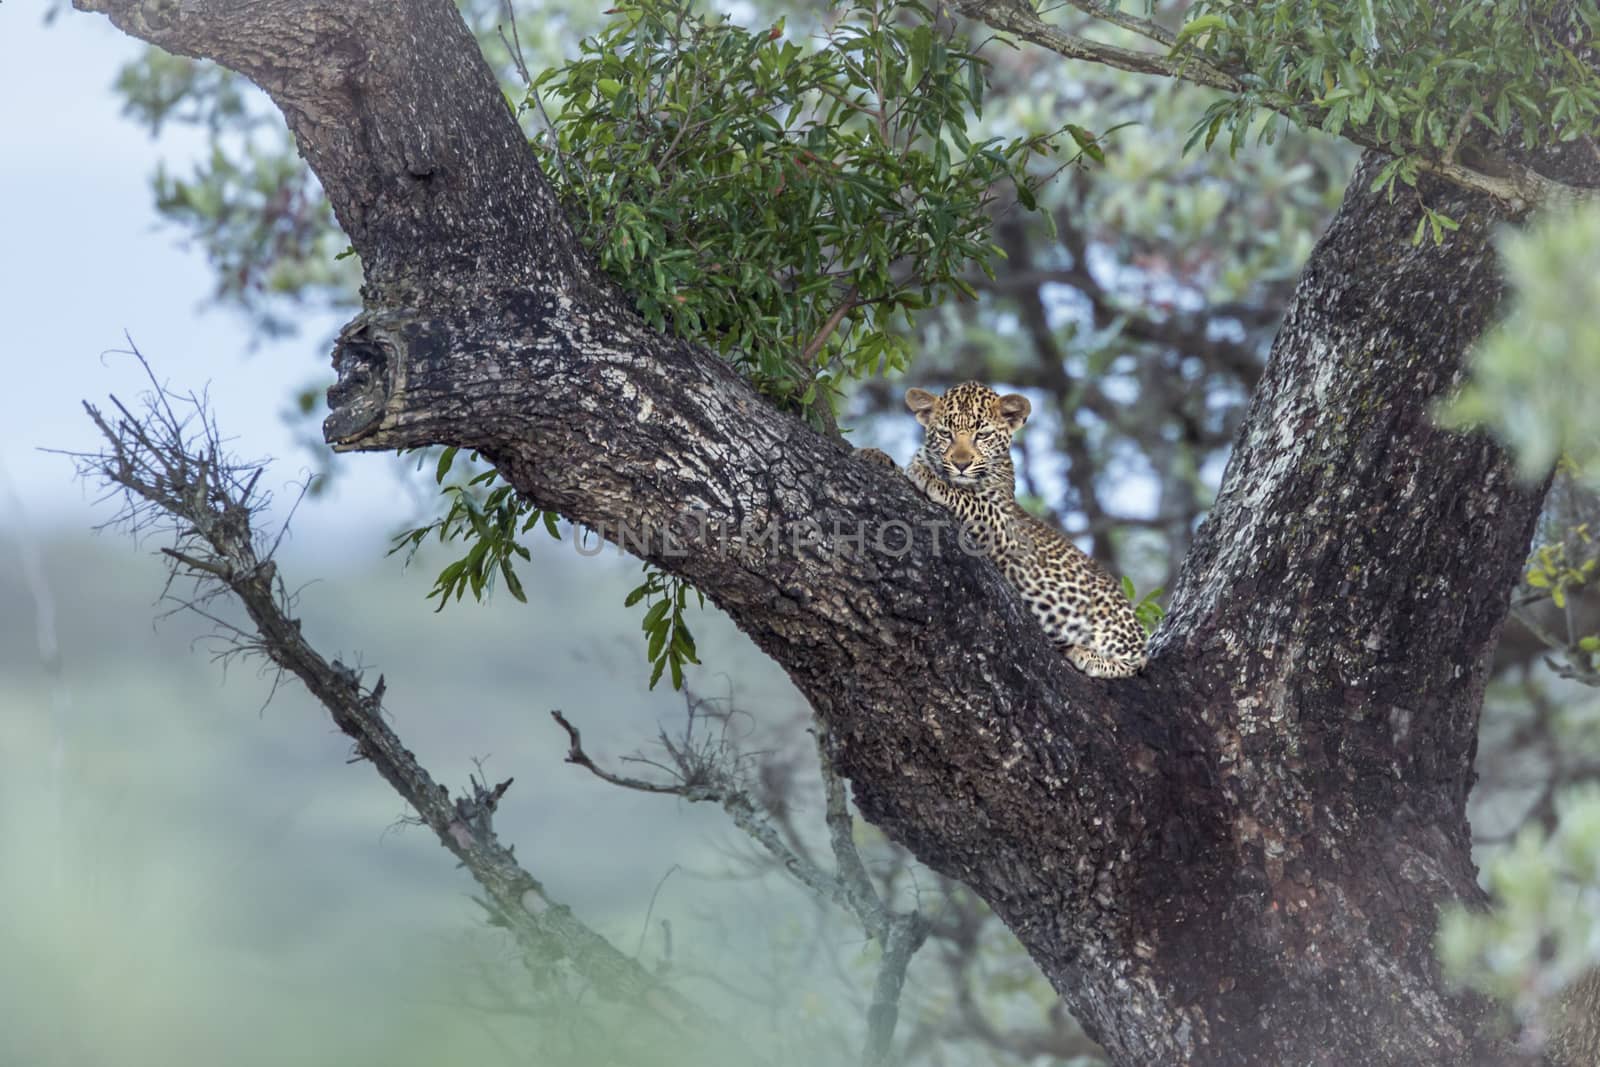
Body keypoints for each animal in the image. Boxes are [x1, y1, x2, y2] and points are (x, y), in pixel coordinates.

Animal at [864, 383, 1152, 681]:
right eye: (946, 434)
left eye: (982, 435)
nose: (961, 464)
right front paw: (875, 454)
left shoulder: (1004, 523)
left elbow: (970, 500)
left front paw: (928, 477)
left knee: (1139, 661)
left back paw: (1088, 656)